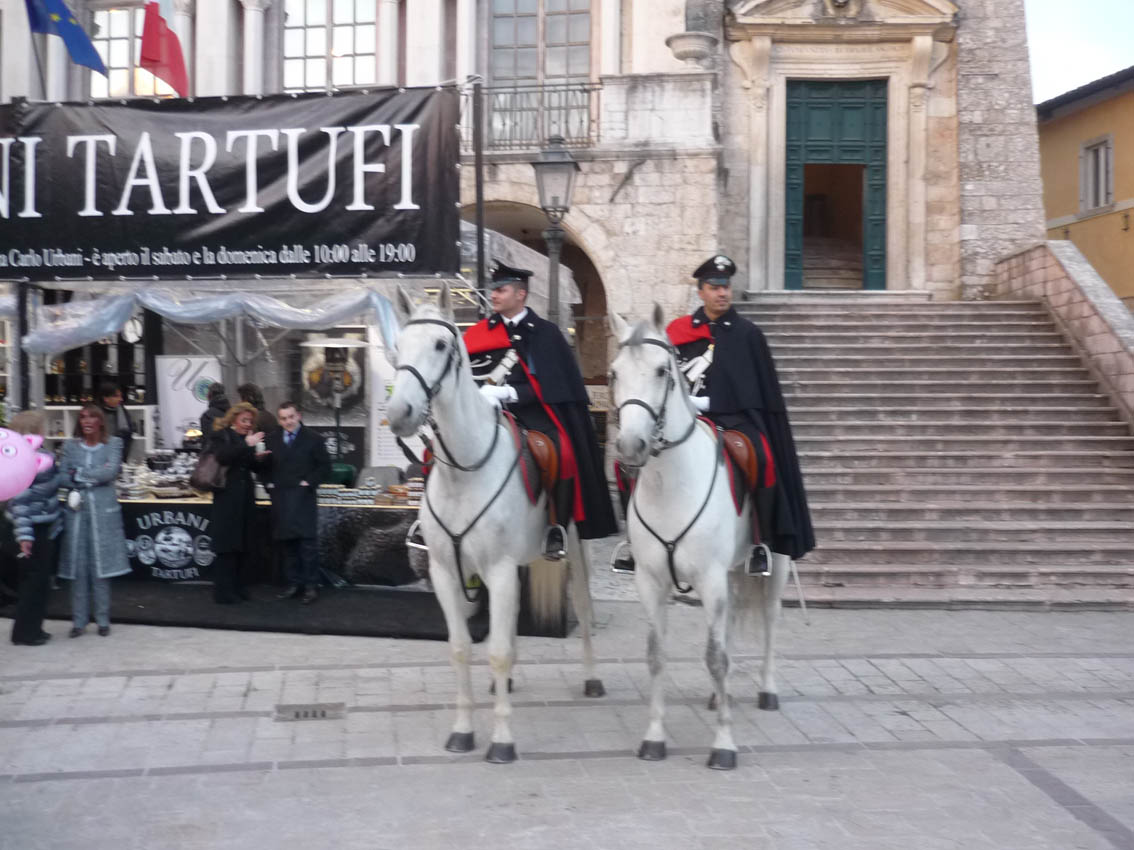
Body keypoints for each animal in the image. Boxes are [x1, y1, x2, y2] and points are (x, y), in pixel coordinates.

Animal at [387, 284, 607, 766]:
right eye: (398, 346)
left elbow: (500, 650)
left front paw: (502, 740)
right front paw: (463, 731)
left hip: (574, 542)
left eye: (441, 344)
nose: (400, 413)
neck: (463, 470)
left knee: (583, 608)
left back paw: (592, 678)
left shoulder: (500, 568)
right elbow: (461, 648)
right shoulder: (447, 573)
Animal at [612, 308, 789, 770]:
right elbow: (656, 656)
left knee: (770, 618)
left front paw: (723, 744)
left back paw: (768, 689)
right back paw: (716, 697)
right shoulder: (652, 582)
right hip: (728, 574)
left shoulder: (709, 579)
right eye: (615, 372)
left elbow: (715, 657)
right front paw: (654, 737)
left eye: (662, 370)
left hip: (775, 565)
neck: (671, 485)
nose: (631, 445)